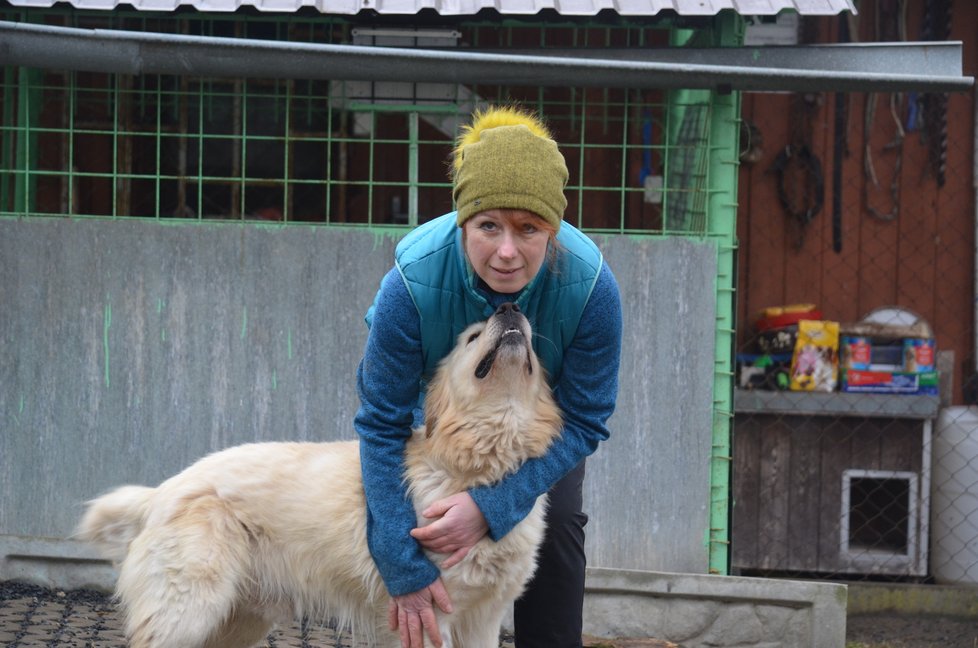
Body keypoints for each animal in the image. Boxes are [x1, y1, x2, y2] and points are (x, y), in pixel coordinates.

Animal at [76, 304, 560, 648]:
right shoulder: (427, 615)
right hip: (189, 611)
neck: (475, 468)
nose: (509, 307)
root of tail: (163, 490)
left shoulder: (483, 619)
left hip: (239, 619)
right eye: (472, 337)